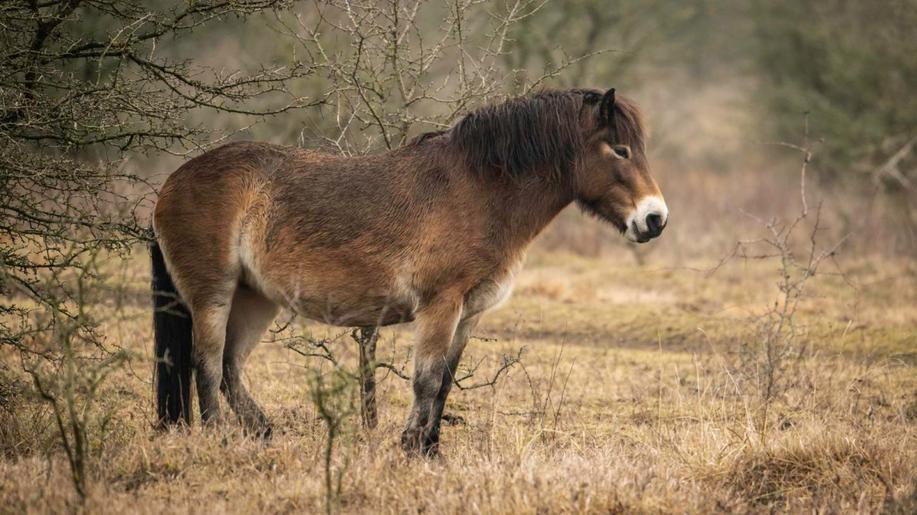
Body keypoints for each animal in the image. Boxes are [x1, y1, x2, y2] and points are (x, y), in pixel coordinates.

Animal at [150, 88, 664, 456]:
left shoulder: (469, 312)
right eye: (620, 150)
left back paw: (260, 431)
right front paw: (413, 448)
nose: (655, 218)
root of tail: (171, 183)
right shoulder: (440, 305)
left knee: (231, 366)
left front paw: (431, 449)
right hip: (213, 294)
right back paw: (218, 437)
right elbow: (427, 380)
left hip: (255, 298)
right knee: (206, 365)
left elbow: (446, 383)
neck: (477, 190)